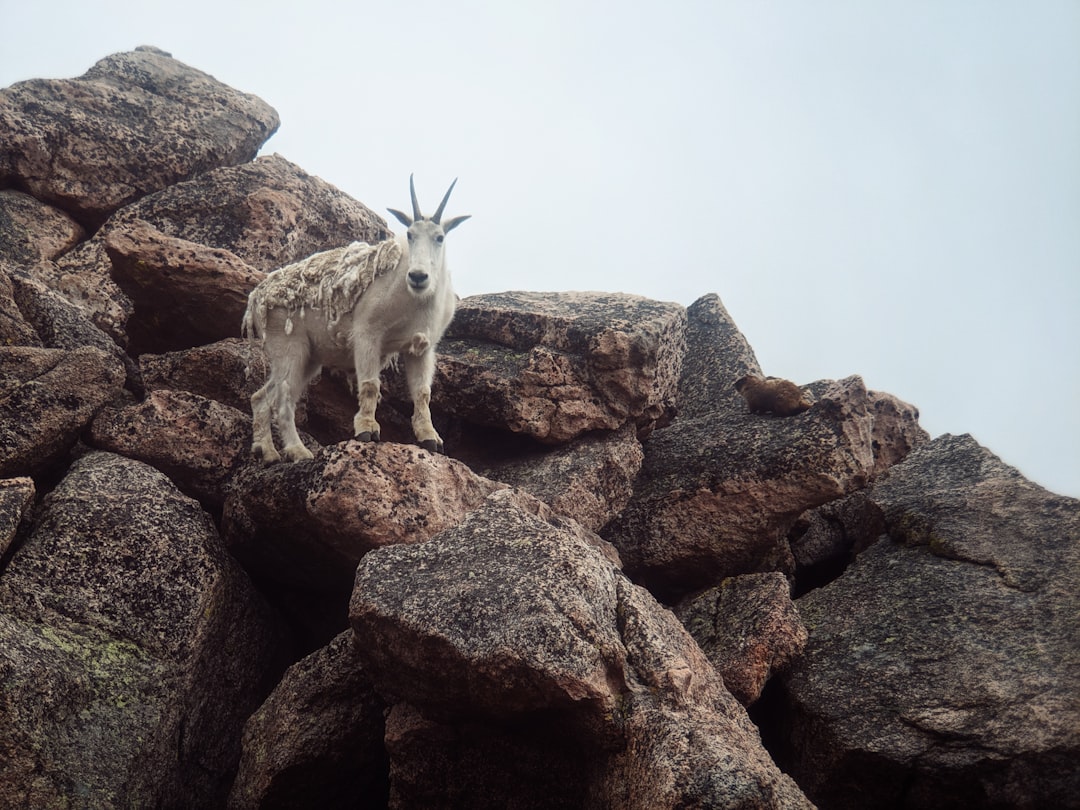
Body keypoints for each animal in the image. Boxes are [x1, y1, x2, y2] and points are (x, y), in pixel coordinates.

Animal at [242, 176, 469, 462]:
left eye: (439, 237)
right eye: (409, 234)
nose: (418, 276)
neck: (414, 300)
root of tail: (257, 298)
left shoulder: (421, 347)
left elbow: (422, 392)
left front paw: (430, 439)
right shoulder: (367, 333)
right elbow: (370, 384)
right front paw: (366, 431)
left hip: (309, 357)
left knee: (263, 396)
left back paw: (267, 452)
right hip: (288, 344)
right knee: (284, 398)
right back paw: (298, 451)